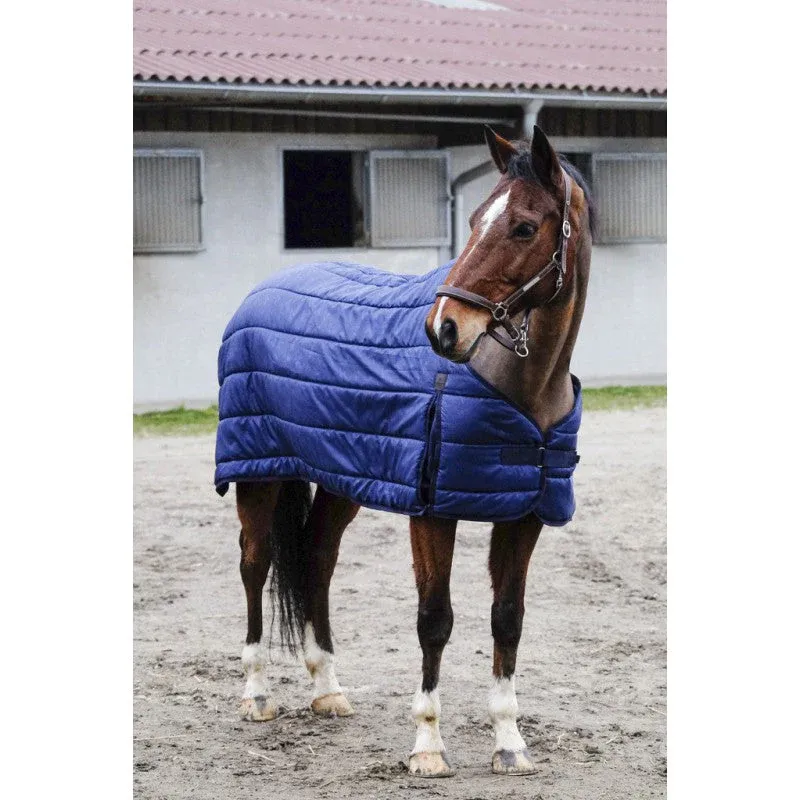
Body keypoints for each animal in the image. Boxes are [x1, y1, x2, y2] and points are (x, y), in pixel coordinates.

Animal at [214, 125, 597, 777]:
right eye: (474, 219)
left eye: (524, 227)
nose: (443, 329)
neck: (520, 386)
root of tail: (258, 294)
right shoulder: (432, 509)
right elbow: (434, 620)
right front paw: (427, 746)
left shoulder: (523, 516)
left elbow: (507, 620)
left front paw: (509, 743)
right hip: (258, 473)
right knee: (255, 563)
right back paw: (257, 694)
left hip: (340, 479)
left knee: (317, 560)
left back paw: (327, 689)